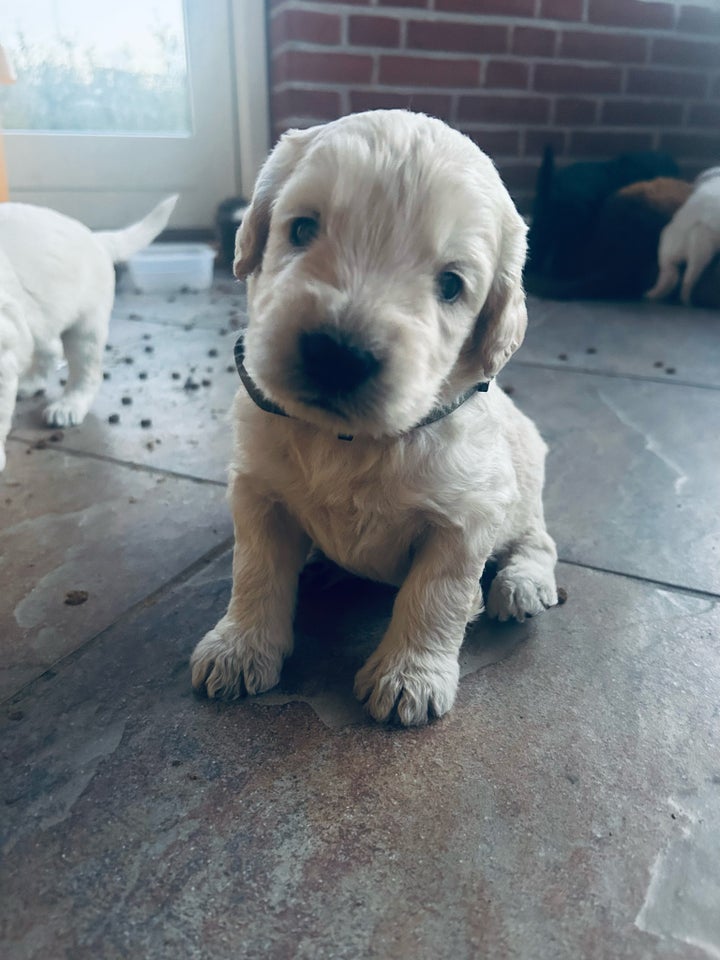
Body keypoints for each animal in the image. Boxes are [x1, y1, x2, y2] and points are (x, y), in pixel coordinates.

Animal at [0, 193, 177, 470]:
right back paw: (30, 383)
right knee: (50, 348)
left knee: (87, 373)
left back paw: (68, 406)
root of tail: (95, 238)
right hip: (45, 315)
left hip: (86, 328)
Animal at [190, 110, 556, 728]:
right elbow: (254, 569)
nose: (338, 353)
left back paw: (521, 585)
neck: (350, 441)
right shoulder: (258, 489)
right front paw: (239, 647)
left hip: (526, 485)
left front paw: (411, 676)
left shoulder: (467, 518)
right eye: (301, 229)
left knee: (539, 540)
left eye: (451, 285)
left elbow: (435, 595)